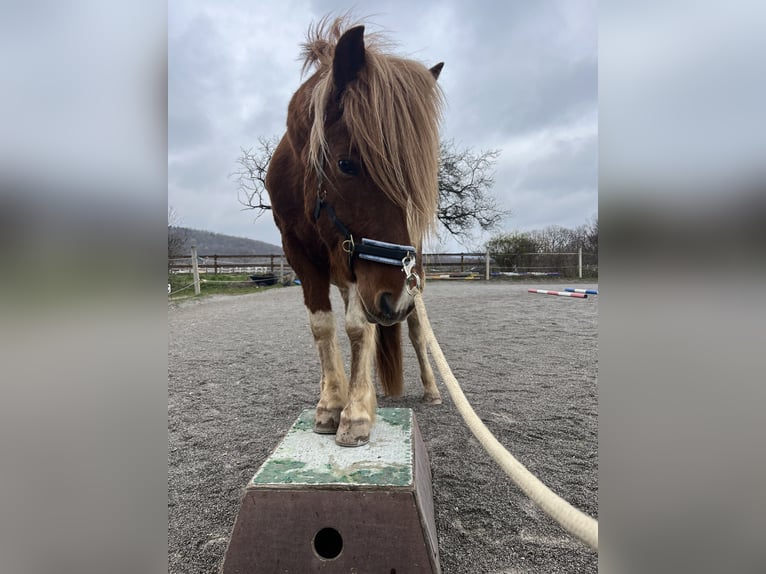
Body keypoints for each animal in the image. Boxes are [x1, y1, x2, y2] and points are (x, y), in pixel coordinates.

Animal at [265, 17, 444, 446]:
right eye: (347, 164)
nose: (394, 300)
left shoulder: (348, 257)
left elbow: (358, 327)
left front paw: (356, 412)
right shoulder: (300, 252)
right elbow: (323, 326)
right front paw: (331, 402)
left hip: (410, 282)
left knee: (416, 332)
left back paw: (430, 390)